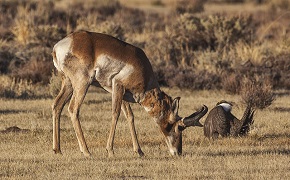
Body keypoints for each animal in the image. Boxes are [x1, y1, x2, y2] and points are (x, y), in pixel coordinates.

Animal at [51, 30, 207, 156]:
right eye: (179, 127)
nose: (178, 152)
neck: (142, 68)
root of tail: (60, 45)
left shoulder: (123, 93)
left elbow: (130, 116)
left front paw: (139, 151)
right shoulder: (118, 86)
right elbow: (115, 114)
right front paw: (110, 150)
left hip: (68, 84)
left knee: (57, 105)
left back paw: (57, 150)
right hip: (82, 84)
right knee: (73, 109)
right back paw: (87, 151)